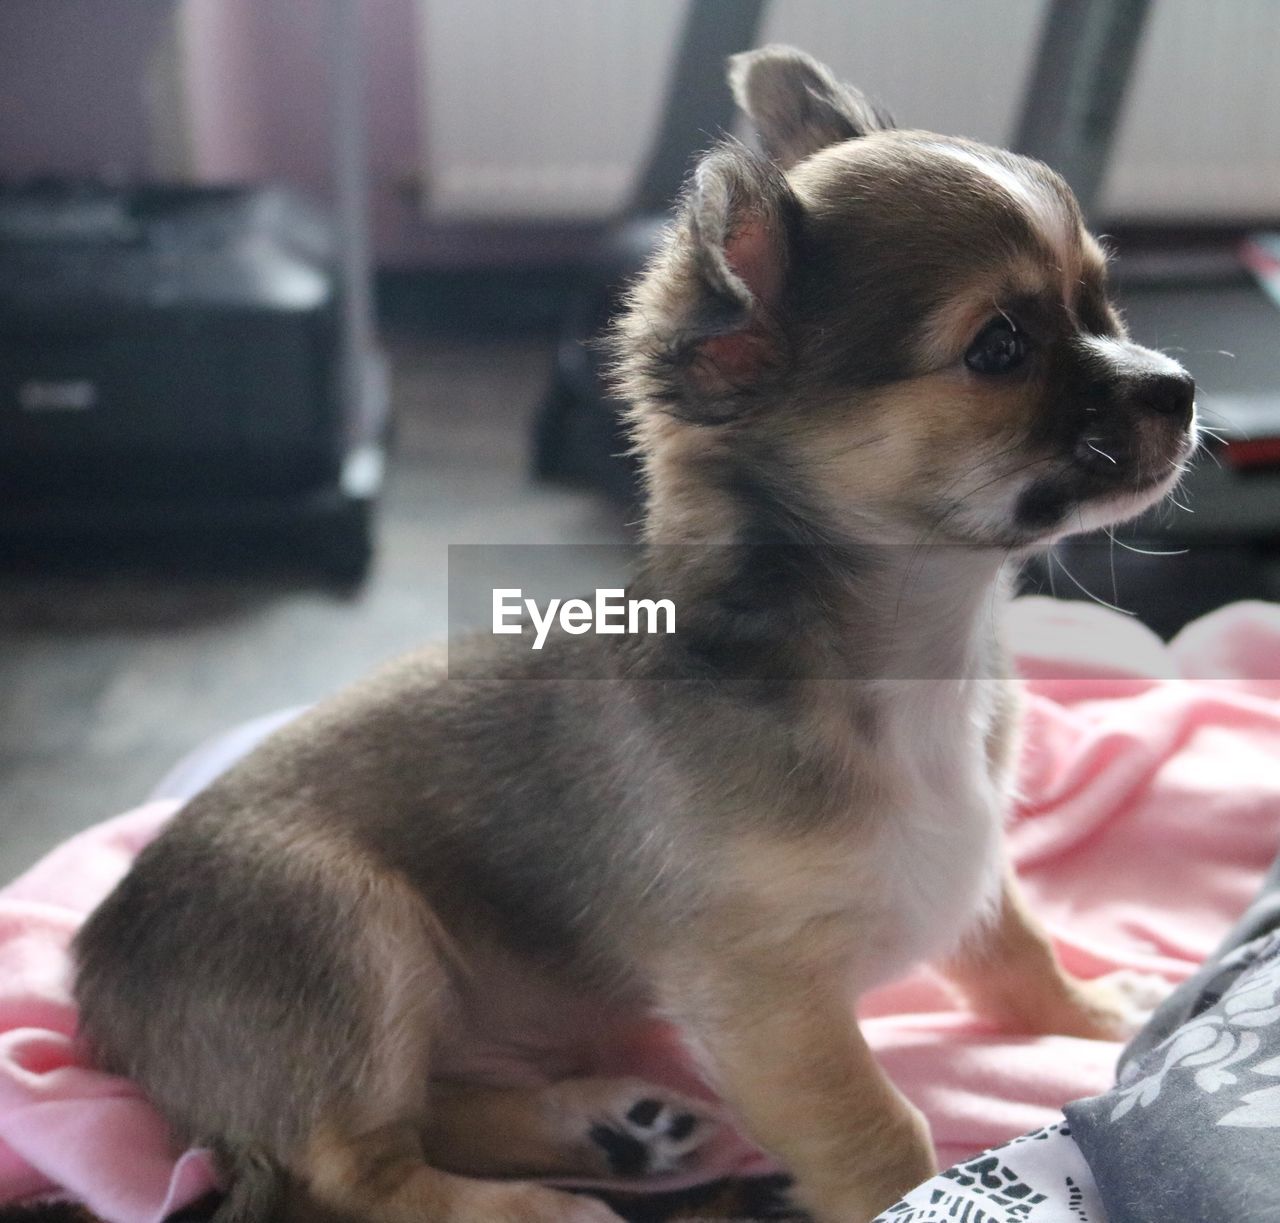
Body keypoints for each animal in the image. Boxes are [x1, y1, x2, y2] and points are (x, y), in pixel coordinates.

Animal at [77, 45, 1198, 1223]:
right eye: (999, 348)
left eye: (1103, 301)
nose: (1179, 388)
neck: (918, 656)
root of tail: (94, 979)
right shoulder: (764, 1000)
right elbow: (880, 1128)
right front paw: (918, 1191)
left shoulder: (966, 859)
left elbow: (1016, 949)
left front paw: (1096, 1012)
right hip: (347, 929)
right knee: (351, 1165)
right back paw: (541, 1201)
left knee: (431, 1110)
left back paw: (612, 1126)